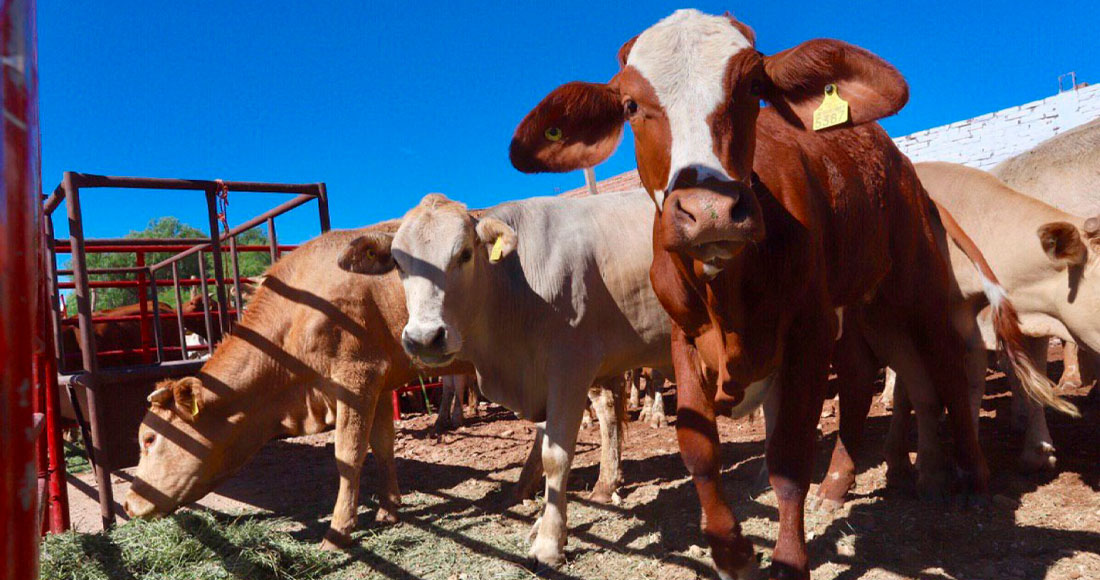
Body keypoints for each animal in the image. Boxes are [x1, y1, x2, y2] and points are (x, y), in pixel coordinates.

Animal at [506, 10, 1020, 580]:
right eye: (631, 106)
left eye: (754, 87)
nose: (709, 210)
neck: (727, 293)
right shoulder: (684, 336)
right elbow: (698, 449)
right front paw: (731, 551)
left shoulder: (806, 331)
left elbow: (789, 459)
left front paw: (790, 560)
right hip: (857, 304)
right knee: (861, 379)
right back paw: (840, 485)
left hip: (915, 281)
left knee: (947, 365)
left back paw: (973, 478)